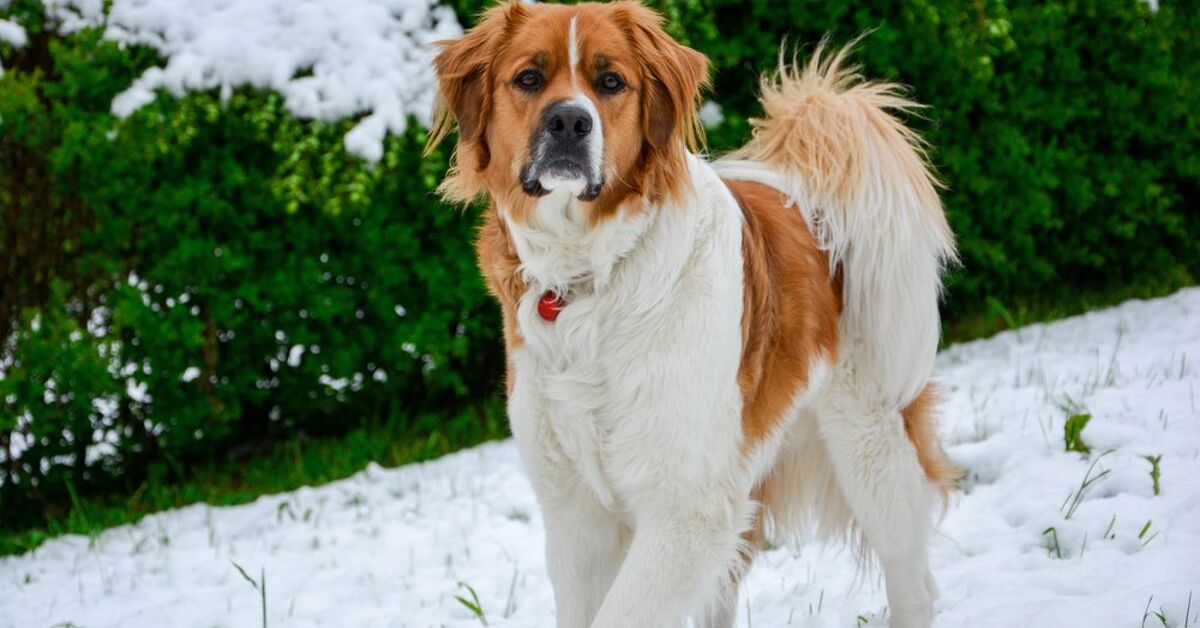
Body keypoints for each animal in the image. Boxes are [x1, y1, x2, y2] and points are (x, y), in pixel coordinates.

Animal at [429, 2, 955, 624]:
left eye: (611, 82)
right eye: (529, 78)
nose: (570, 123)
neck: (591, 273)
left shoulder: (687, 508)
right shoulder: (578, 519)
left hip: (871, 446)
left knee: (913, 578)